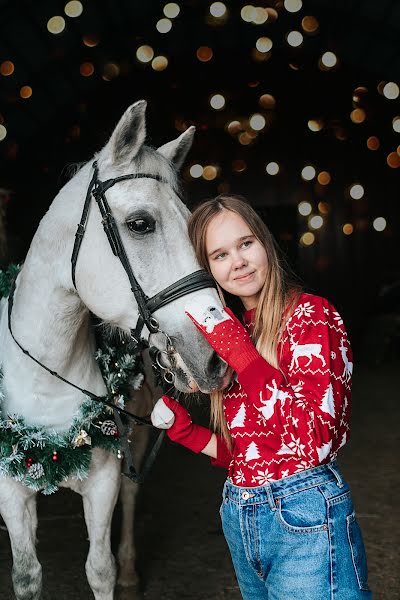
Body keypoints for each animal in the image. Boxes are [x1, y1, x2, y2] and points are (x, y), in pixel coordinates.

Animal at [0, 101, 227, 596]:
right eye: (141, 223)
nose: (215, 359)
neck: (45, 376)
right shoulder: (10, 491)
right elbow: (26, 575)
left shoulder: (102, 481)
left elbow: (99, 568)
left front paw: (116, 572)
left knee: (131, 494)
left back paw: (129, 570)